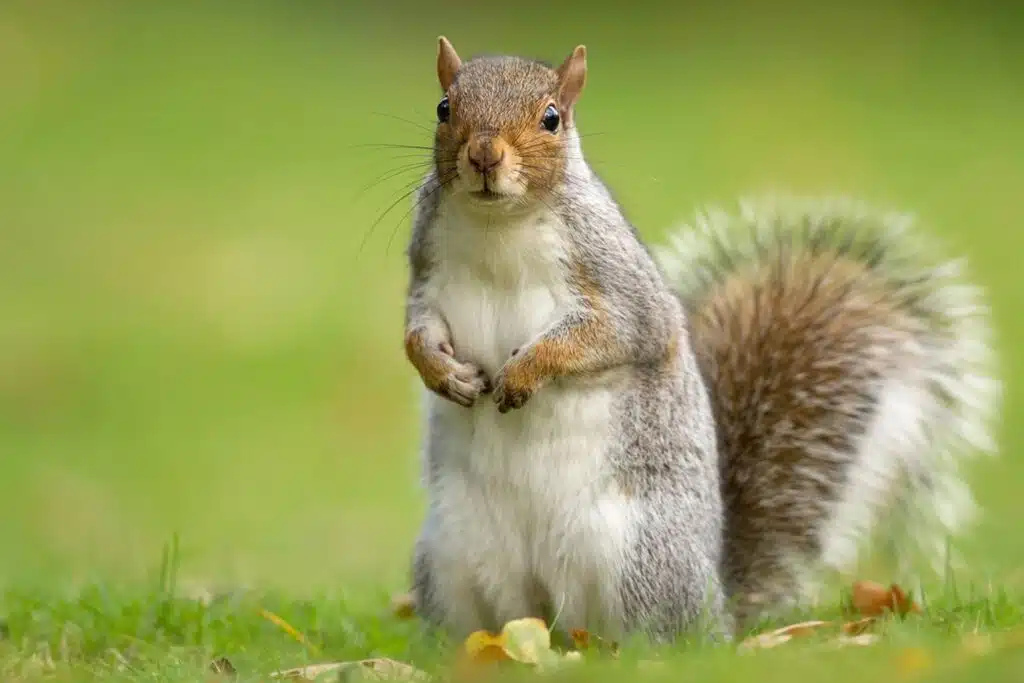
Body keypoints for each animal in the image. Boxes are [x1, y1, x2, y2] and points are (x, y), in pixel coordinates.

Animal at [401, 37, 1002, 641]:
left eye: (552, 118)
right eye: (444, 108)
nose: (483, 155)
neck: (497, 225)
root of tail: (718, 605)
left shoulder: (621, 288)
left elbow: (609, 335)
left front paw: (526, 372)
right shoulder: (427, 277)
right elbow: (415, 333)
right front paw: (442, 372)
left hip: (635, 558)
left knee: (655, 636)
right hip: (452, 556)